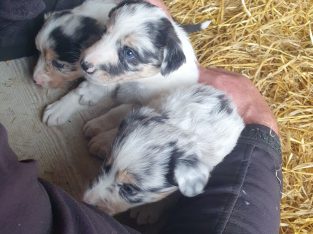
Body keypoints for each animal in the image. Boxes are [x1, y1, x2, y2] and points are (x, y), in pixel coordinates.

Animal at [42, 0, 207, 126]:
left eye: (129, 53)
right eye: (104, 32)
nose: (83, 64)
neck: (137, 80)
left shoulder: (143, 102)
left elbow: (117, 112)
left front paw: (96, 129)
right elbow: (88, 88)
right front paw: (60, 108)